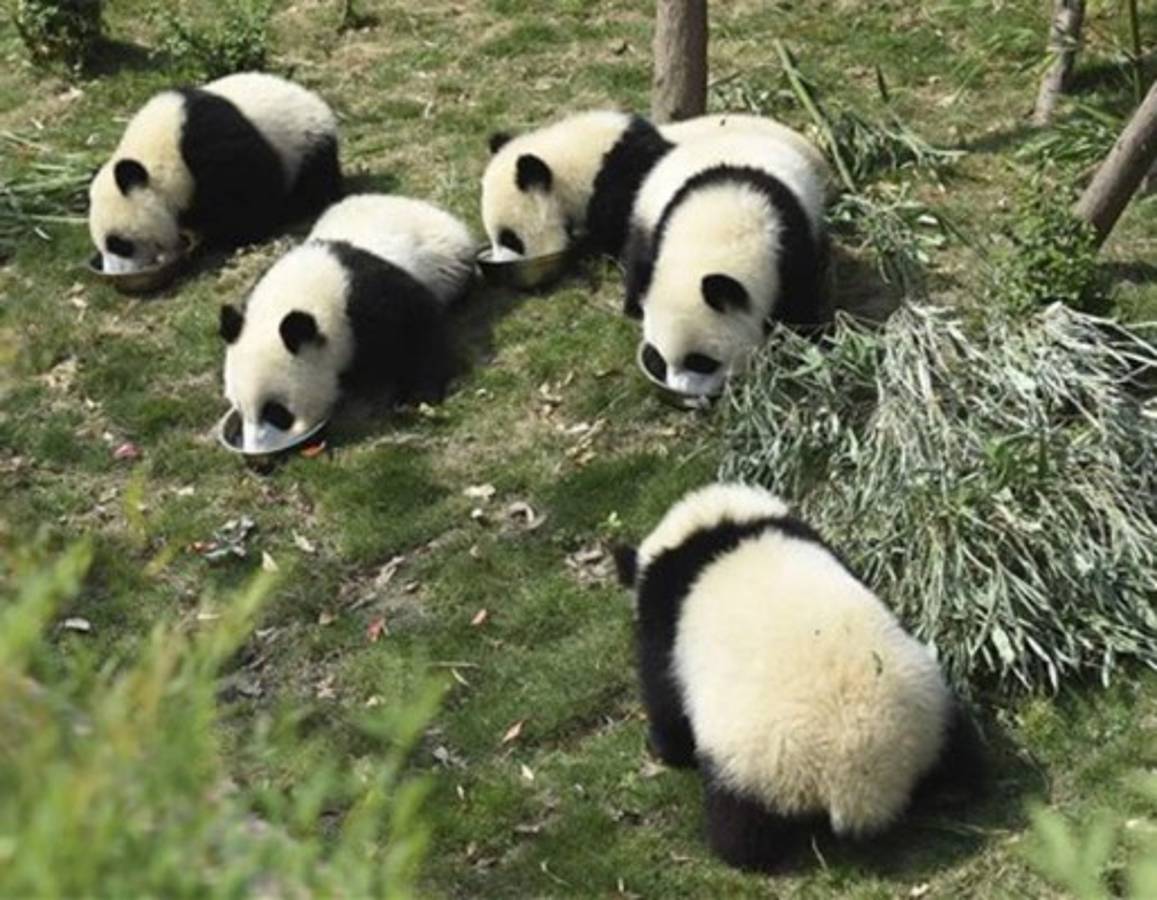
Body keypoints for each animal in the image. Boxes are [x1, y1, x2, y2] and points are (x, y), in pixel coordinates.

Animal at [89, 72, 341, 274]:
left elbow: (250, 195)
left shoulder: (211, 147)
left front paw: (220, 237)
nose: (112, 273)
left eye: (119, 244)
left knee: (312, 183)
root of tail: (319, 105)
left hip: (306, 143)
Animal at [219, 194, 474, 453]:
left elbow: (418, 327)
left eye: (276, 412)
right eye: (239, 409)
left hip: (446, 260)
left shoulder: (370, 298)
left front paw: (417, 396)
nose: (256, 452)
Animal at [613, 483, 982, 872]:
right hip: (931, 705)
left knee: (742, 828)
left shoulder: (664, 623)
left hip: (756, 770)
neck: (715, 532)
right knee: (963, 753)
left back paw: (735, 848)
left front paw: (661, 747)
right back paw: (956, 789)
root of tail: (860, 780)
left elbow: (664, 697)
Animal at [623, 131, 831, 397]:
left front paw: (807, 341)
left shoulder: (791, 250)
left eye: (701, 362)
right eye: (661, 358)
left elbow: (801, 303)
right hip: (646, 211)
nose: (681, 390)